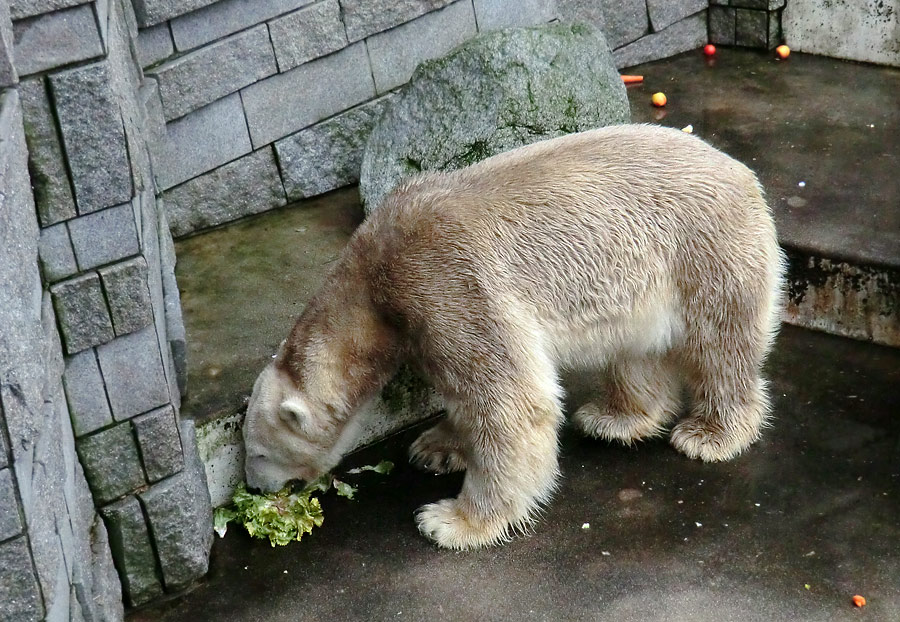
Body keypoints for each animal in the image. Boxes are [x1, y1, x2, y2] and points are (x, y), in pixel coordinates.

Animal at [243, 124, 784, 552]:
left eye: (258, 452)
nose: (253, 488)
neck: (372, 282)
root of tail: (743, 172)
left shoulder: (444, 280)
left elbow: (508, 399)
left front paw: (450, 521)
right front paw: (436, 447)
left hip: (703, 250)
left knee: (720, 343)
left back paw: (709, 434)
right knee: (637, 350)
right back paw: (613, 418)